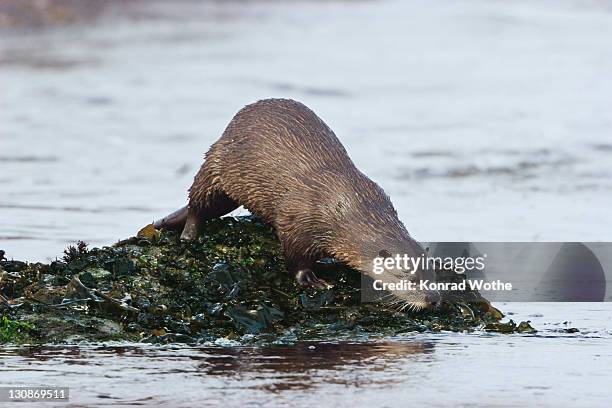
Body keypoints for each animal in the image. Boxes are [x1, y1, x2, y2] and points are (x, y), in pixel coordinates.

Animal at [153, 99, 440, 310]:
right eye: (410, 278)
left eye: (433, 276)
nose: (433, 299)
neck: (348, 210)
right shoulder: (298, 220)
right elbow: (295, 257)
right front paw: (312, 281)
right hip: (218, 168)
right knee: (196, 203)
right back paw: (189, 235)